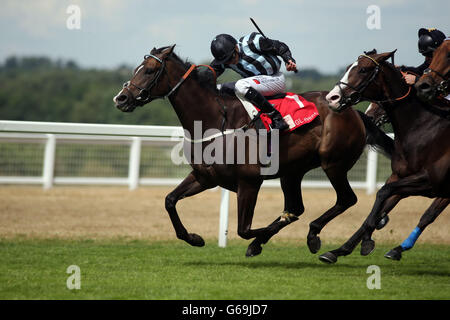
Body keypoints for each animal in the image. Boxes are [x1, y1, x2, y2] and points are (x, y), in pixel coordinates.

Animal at [113, 45, 390, 256]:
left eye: (149, 70)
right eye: (137, 69)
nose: (121, 98)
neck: (215, 119)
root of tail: (352, 111)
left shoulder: (249, 182)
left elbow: (243, 230)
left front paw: (260, 238)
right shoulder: (204, 177)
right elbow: (170, 200)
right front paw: (194, 238)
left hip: (333, 164)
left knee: (345, 199)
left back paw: (315, 236)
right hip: (293, 172)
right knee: (298, 207)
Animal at [322, 50, 448, 264]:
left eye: (363, 70)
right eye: (348, 67)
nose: (332, 98)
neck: (421, 125)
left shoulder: (430, 180)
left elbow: (384, 194)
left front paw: (369, 237)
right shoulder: (401, 177)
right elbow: (382, 203)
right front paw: (340, 249)